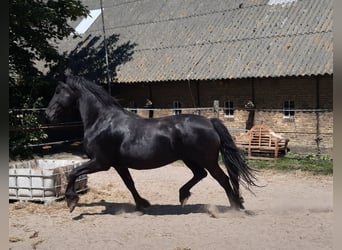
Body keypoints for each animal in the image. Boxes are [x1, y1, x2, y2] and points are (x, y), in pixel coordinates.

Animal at [45, 74, 256, 213]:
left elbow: (73, 172)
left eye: (58, 91)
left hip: (207, 160)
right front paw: (142, 204)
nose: (48, 115)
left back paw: (235, 206)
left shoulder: (101, 163)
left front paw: (71, 201)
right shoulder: (118, 164)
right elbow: (129, 183)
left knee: (224, 179)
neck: (102, 121)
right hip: (190, 159)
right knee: (201, 175)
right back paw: (184, 195)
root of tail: (210, 122)